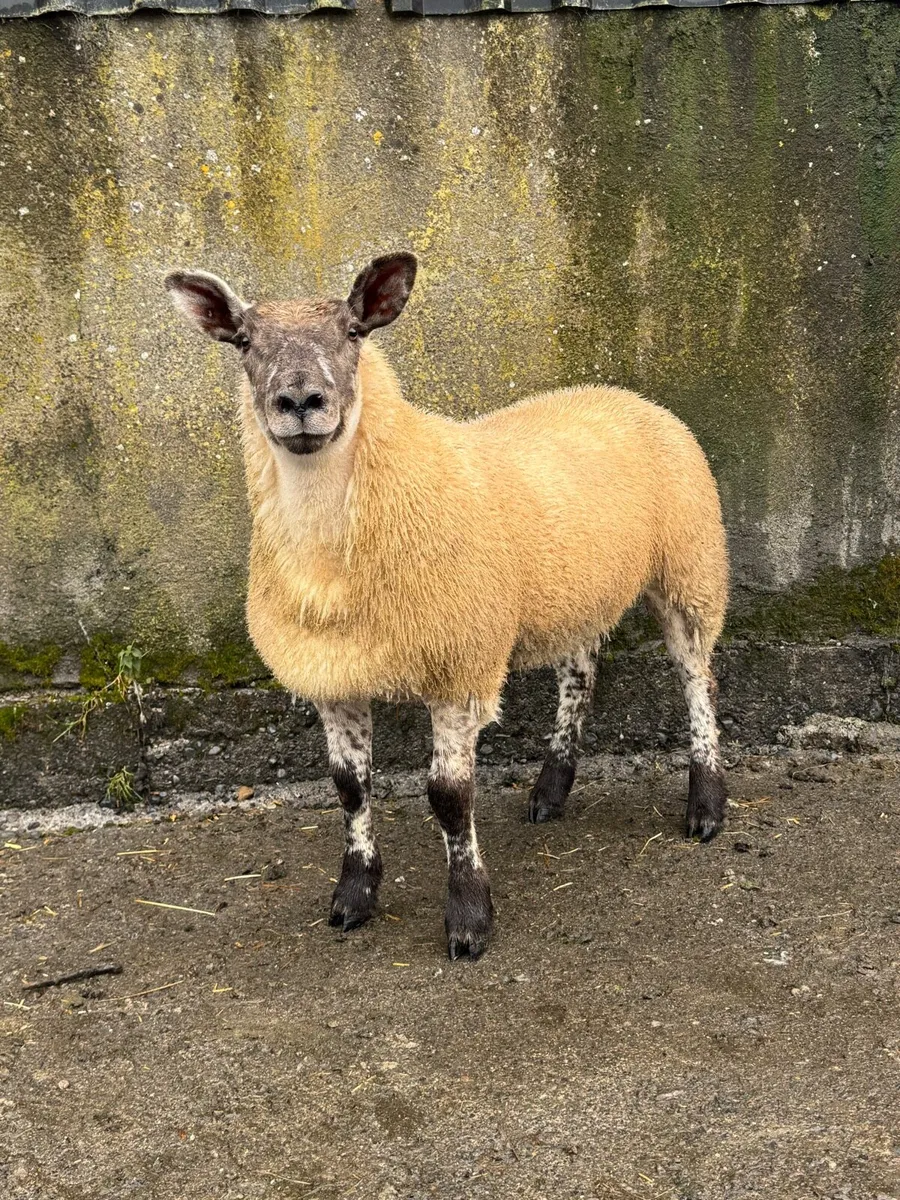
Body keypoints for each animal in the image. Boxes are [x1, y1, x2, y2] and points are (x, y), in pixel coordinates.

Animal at [165, 252, 729, 961]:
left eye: (353, 332)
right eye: (243, 341)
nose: (299, 402)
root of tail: (621, 392)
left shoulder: (460, 666)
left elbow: (449, 797)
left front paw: (468, 916)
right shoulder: (333, 673)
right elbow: (350, 787)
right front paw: (354, 895)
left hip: (690, 567)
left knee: (697, 680)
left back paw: (706, 804)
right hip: (576, 588)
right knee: (579, 674)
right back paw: (551, 789)